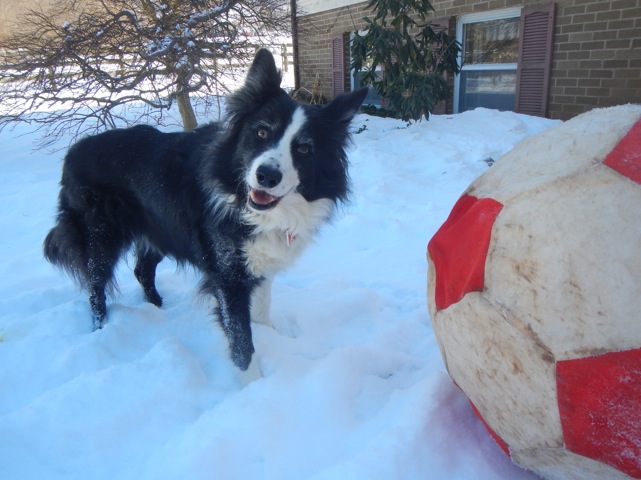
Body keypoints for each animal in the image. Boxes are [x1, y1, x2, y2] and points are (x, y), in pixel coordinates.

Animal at [44, 49, 368, 371]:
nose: (267, 176)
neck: (248, 206)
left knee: (141, 269)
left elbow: (262, 308)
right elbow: (242, 343)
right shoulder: (228, 276)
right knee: (95, 286)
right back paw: (100, 327)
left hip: (159, 227)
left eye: (304, 149)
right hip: (100, 235)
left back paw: (158, 308)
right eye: (262, 132)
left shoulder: (260, 263)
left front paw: (271, 336)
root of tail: (73, 151)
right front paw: (253, 379)